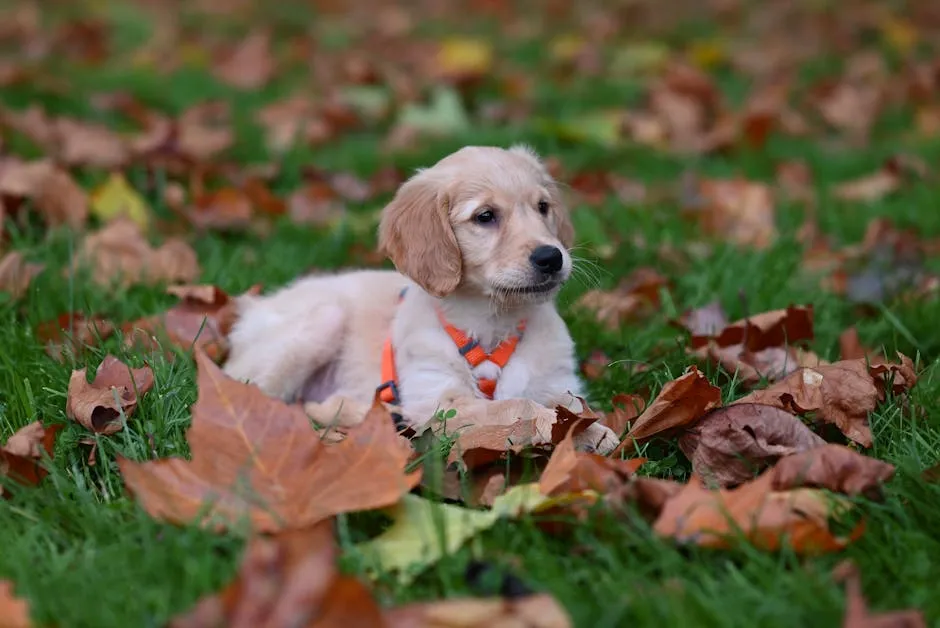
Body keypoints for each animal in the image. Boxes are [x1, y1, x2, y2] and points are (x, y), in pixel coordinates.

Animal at [223, 145, 620, 454]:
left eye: (542, 207)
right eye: (485, 216)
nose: (552, 257)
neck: (492, 321)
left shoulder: (557, 382)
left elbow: (565, 406)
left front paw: (591, 432)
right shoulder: (439, 402)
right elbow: (516, 406)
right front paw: (577, 432)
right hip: (321, 321)